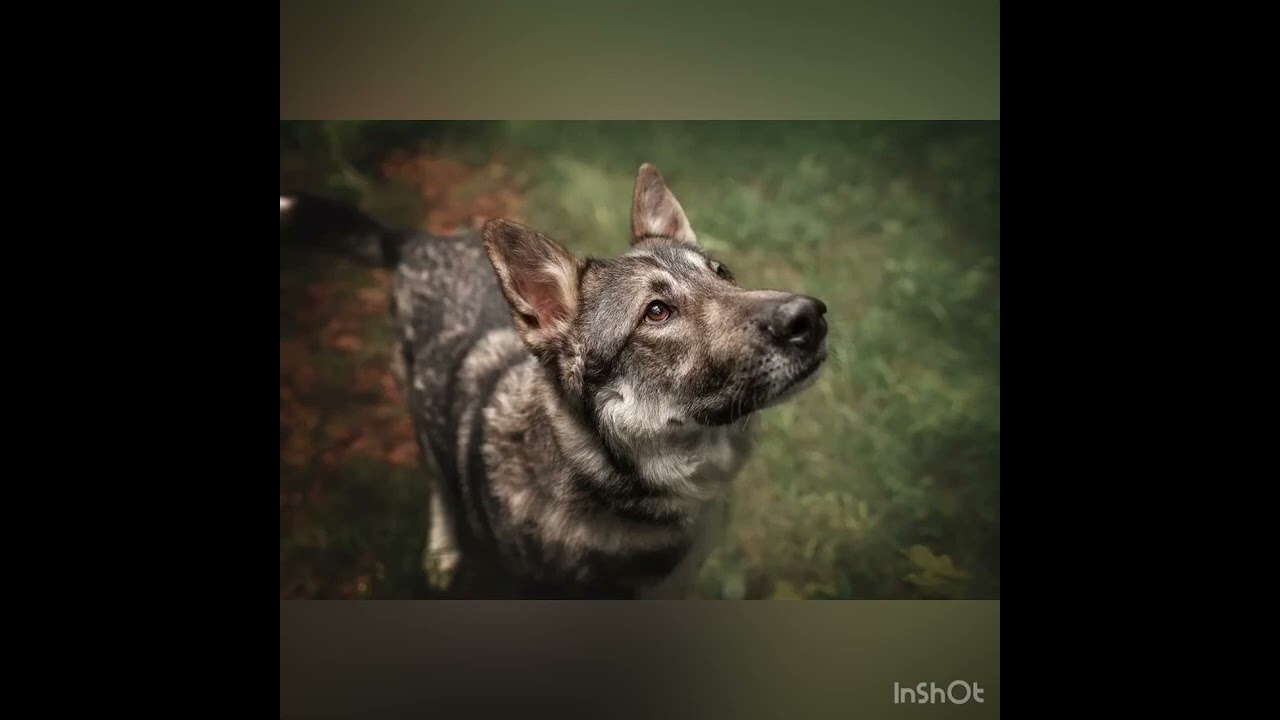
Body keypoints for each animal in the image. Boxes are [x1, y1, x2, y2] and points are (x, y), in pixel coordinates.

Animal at [280, 164, 829, 599]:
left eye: (723, 274)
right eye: (656, 312)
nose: (812, 317)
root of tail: (419, 240)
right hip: (418, 410)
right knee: (436, 482)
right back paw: (442, 552)